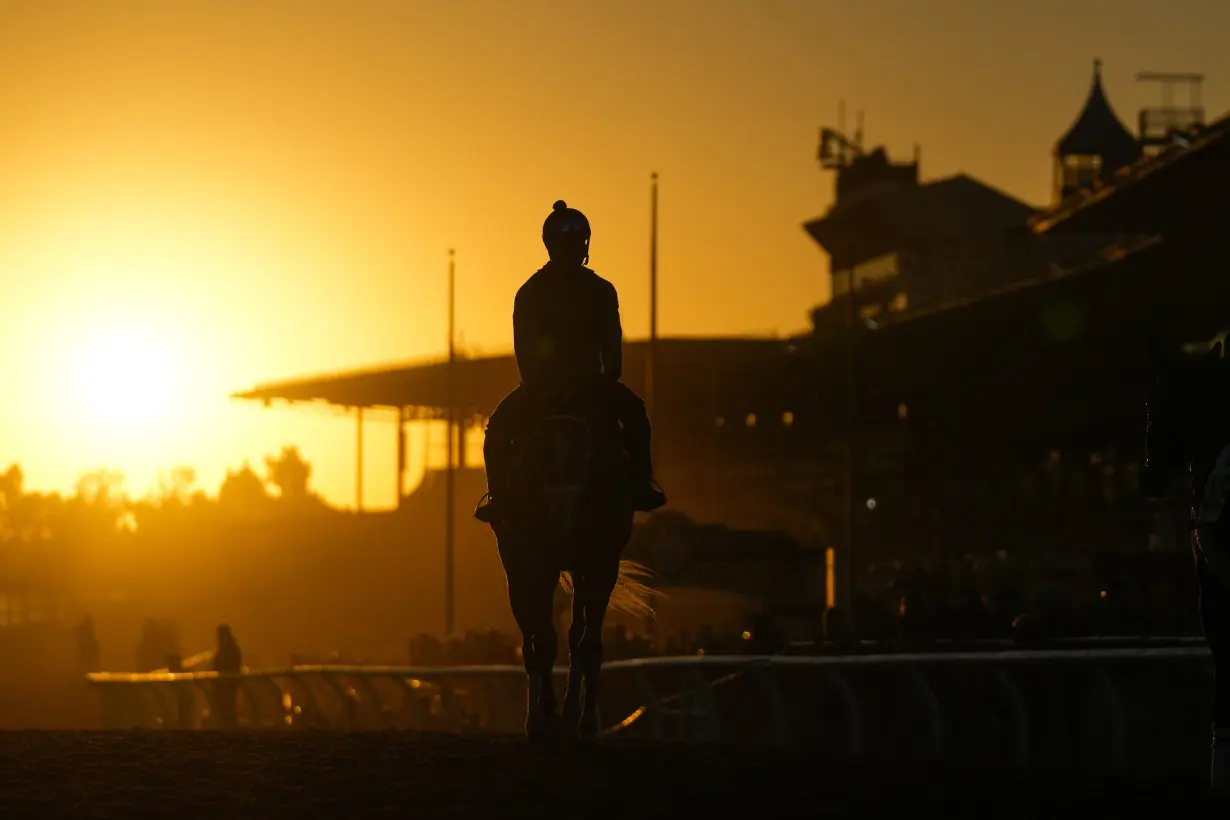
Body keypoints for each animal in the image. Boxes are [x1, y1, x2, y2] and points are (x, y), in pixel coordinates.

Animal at [484, 388, 654, 742]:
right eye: (540, 460)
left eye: (584, 461)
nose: (561, 522)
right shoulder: (536, 561)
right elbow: (544, 639)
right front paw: (545, 713)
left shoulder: (601, 563)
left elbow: (586, 643)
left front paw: (585, 721)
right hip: (520, 566)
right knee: (532, 638)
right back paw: (538, 719)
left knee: (573, 635)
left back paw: (569, 712)